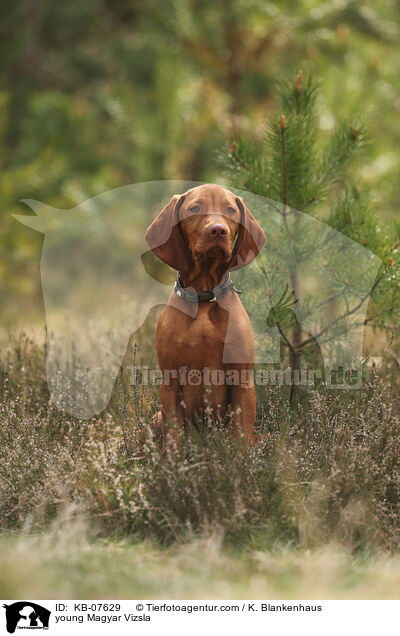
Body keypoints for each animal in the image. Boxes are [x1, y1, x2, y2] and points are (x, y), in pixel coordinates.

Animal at [145, 184, 266, 448]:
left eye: (230, 210)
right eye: (195, 209)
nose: (218, 230)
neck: (204, 298)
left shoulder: (242, 380)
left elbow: (240, 439)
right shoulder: (169, 382)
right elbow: (174, 440)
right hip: (155, 418)